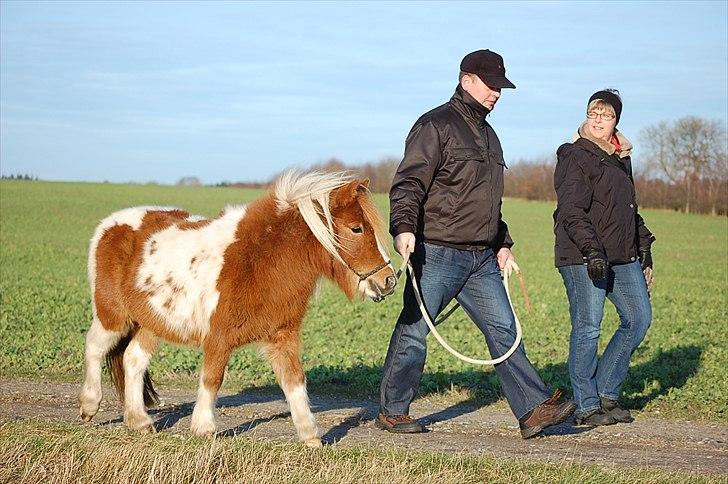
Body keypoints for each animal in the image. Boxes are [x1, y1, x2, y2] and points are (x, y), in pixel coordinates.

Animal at [79, 172, 396, 448]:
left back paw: (139, 422)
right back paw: (89, 406)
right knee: (95, 347)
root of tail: (109, 224)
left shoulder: (282, 336)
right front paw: (204, 428)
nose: (390, 280)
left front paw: (310, 436)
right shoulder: (218, 338)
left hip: (152, 322)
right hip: (113, 316)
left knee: (133, 360)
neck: (258, 261)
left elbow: (295, 382)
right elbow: (212, 379)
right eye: (356, 228)